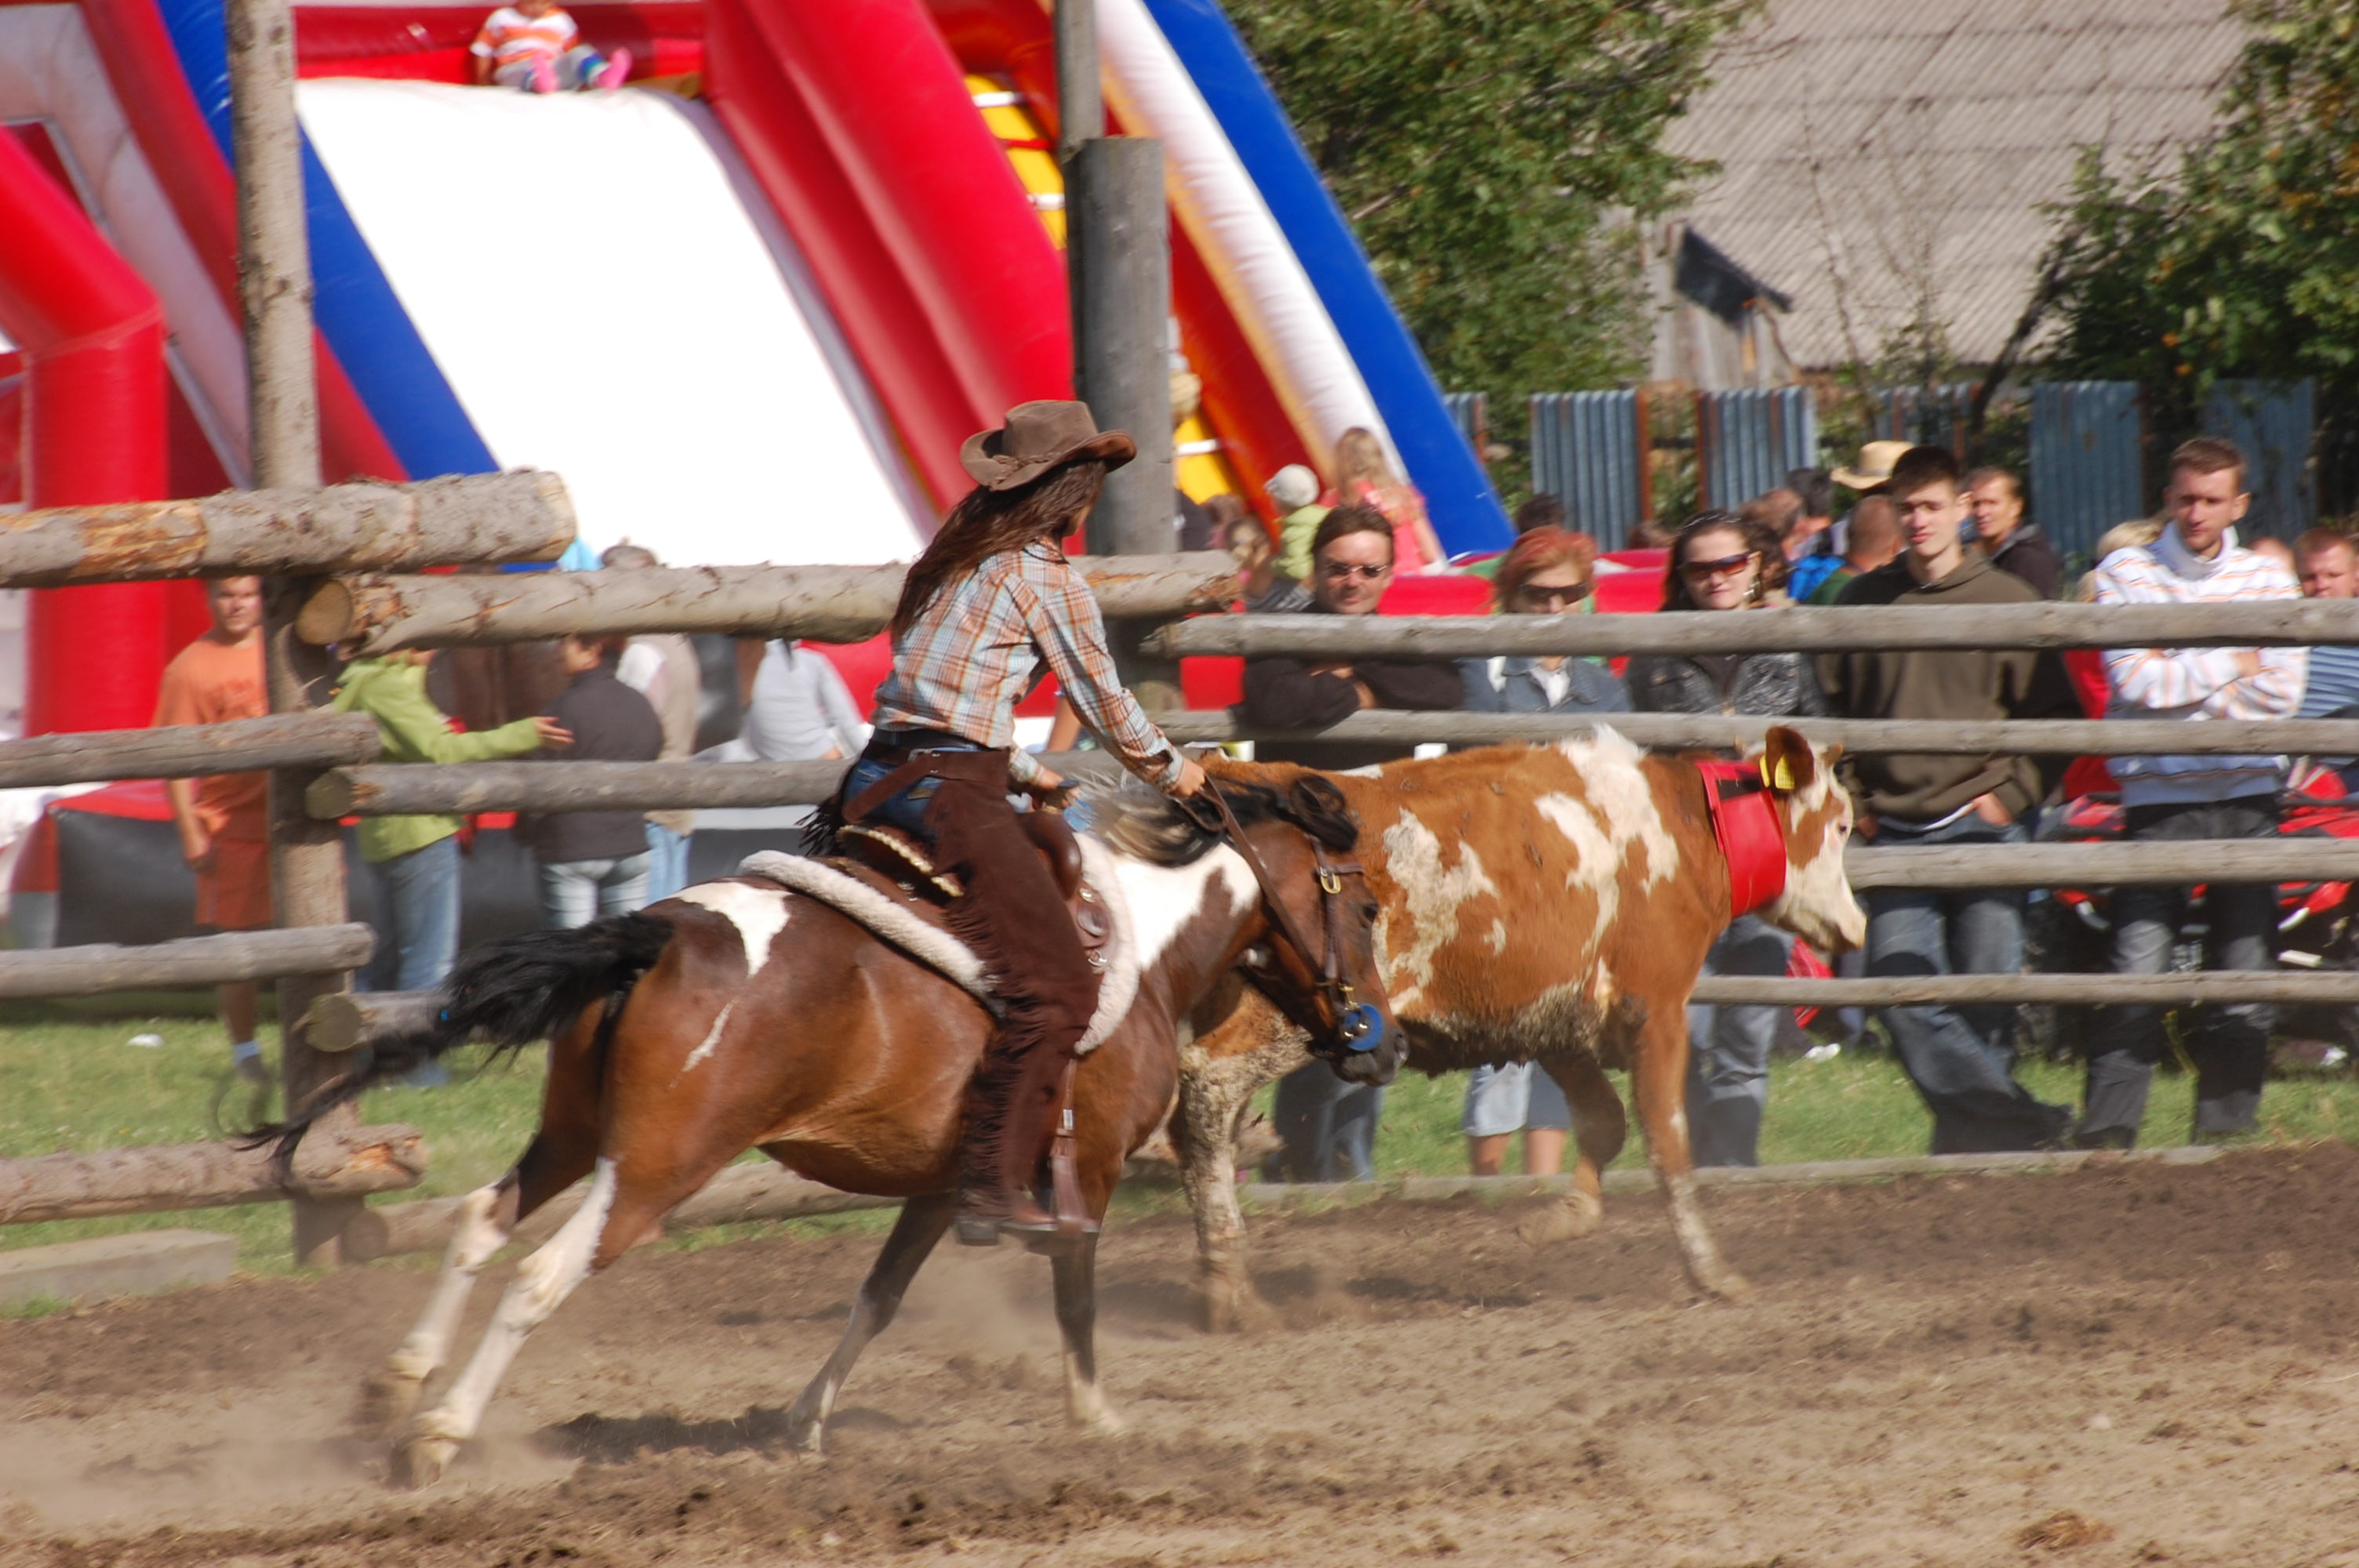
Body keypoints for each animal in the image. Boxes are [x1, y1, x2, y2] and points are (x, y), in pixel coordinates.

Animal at [263, 764, 1396, 1490]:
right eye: (1369, 907)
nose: (1377, 1046)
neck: (1144, 946)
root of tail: (657, 934)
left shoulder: (945, 1182)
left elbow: (879, 1297)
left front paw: (804, 1420)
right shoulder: (1094, 1170)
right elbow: (1073, 1295)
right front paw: (1097, 1417)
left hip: (576, 1136)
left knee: (477, 1221)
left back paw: (393, 1389)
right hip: (656, 1166)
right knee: (539, 1276)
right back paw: (438, 1432)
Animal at [1169, 726, 1868, 1320]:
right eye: (1840, 825)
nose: (1855, 925)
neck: (1683, 829)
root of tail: (1230, 779)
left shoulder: (1551, 1021)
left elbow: (1605, 1122)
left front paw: (1562, 1216)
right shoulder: (1657, 1009)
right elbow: (1668, 1143)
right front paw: (1711, 1271)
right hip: (1307, 1012)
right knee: (1208, 1087)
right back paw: (1229, 1285)